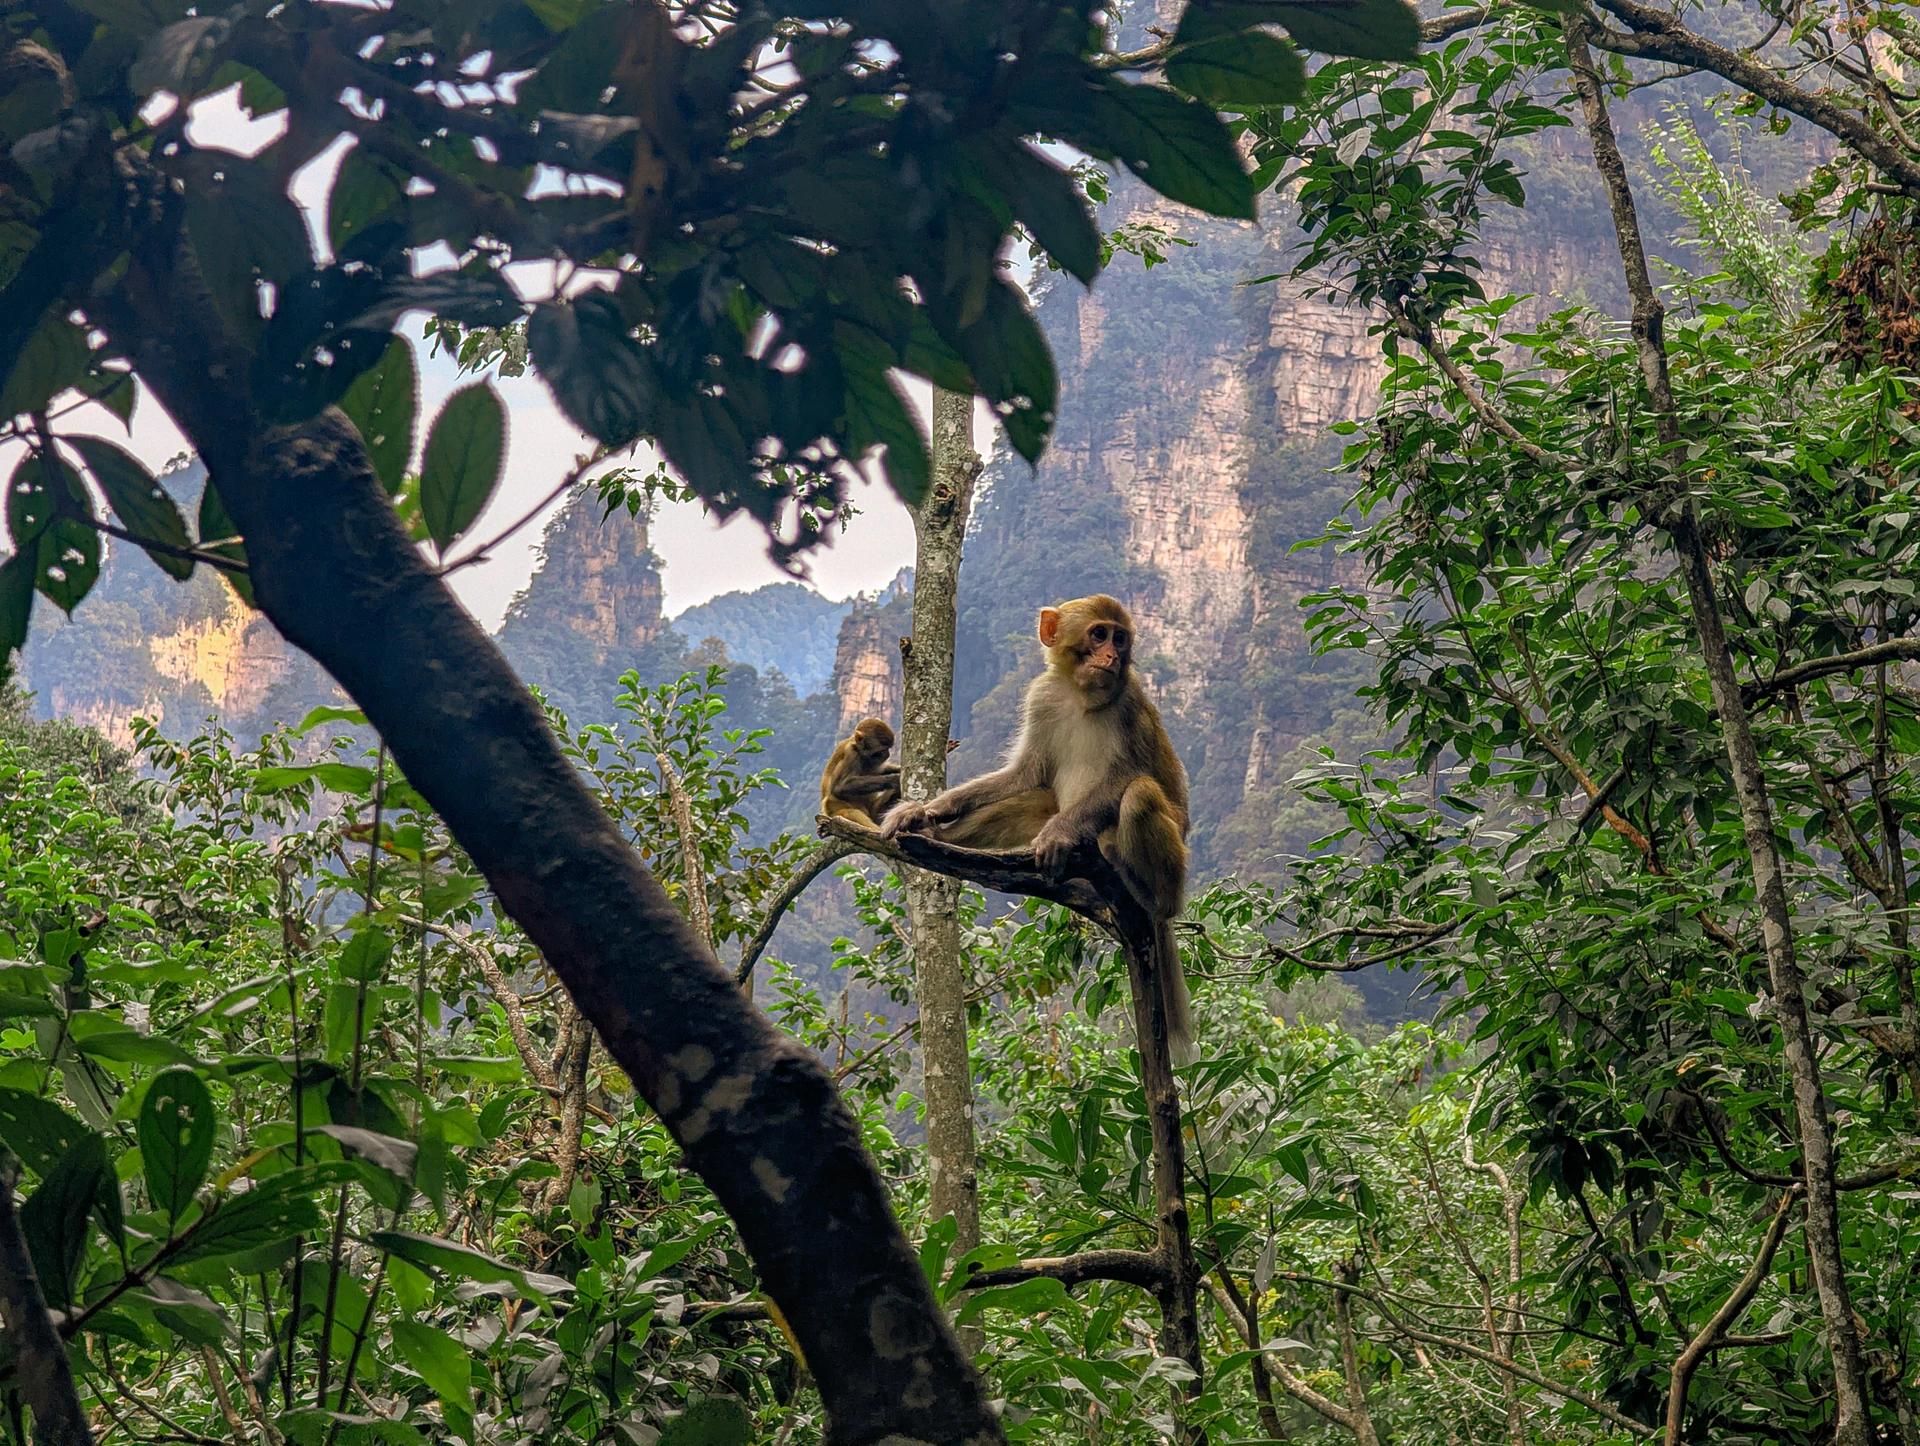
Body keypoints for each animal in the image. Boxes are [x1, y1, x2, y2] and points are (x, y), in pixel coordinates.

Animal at [883, 595, 1195, 1061]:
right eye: (1099, 634)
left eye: (1120, 639)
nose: (1111, 656)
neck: (1081, 695)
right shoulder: (1042, 697)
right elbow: (1024, 774)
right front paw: (926, 811)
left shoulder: (1131, 704)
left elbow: (1127, 777)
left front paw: (1056, 835)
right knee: (1039, 799)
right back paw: (939, 842)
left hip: (1169, 860)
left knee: (1139, 794)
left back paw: (1152, 898)